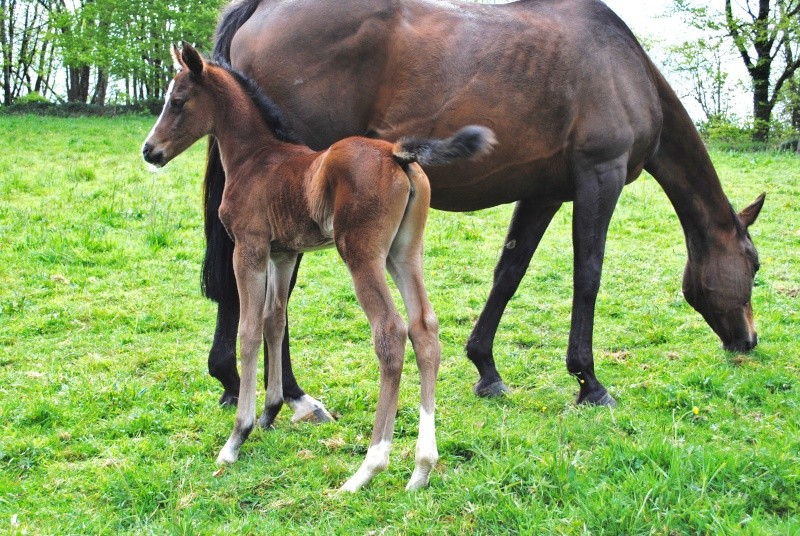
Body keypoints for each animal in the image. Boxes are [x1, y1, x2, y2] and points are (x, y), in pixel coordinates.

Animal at [143, 44, 494, 492]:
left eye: (178, 101)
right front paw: (271, 412)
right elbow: (275, 321)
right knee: (424, 328)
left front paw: (237, 438)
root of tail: (398, 154)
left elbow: (248, 331)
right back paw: (421, 468)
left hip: (361, 253)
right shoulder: (284, 253)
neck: (254, 159)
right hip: (403, 252)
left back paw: (367, 469)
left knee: (390, 332)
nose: (149, 151)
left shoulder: (249, 248)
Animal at [200, 0, 764, 412]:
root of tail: (262, 7)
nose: (749, 341)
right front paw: (589, 381)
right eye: (754, 266)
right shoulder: (598, 178)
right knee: (275, 288)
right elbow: (588, 275)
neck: (625, 69)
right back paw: (290, 391)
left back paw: (231, 379)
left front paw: (485, 368)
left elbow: (509, 272)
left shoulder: (543, 192)